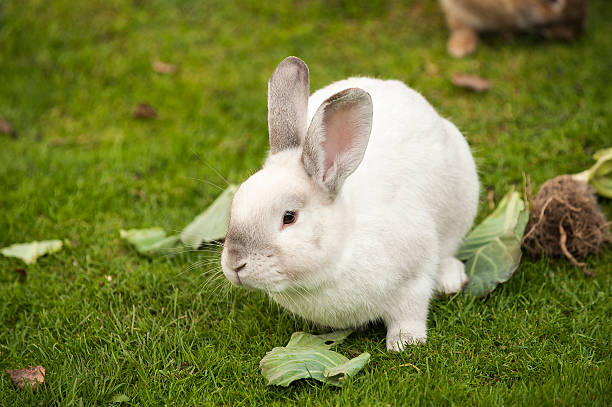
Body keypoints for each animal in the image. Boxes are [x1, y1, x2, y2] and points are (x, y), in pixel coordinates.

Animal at [220, 55, 478, 352]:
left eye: (289, 217)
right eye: (236, 203)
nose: (235, 264)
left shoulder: (413, 276)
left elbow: (410, 311)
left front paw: (405, 343)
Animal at [440, 0, 588, 57]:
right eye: (553, 0)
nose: (576, 33)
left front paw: (508, 35)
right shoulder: (456, 8)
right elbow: (461, 26)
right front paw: (460, 48)